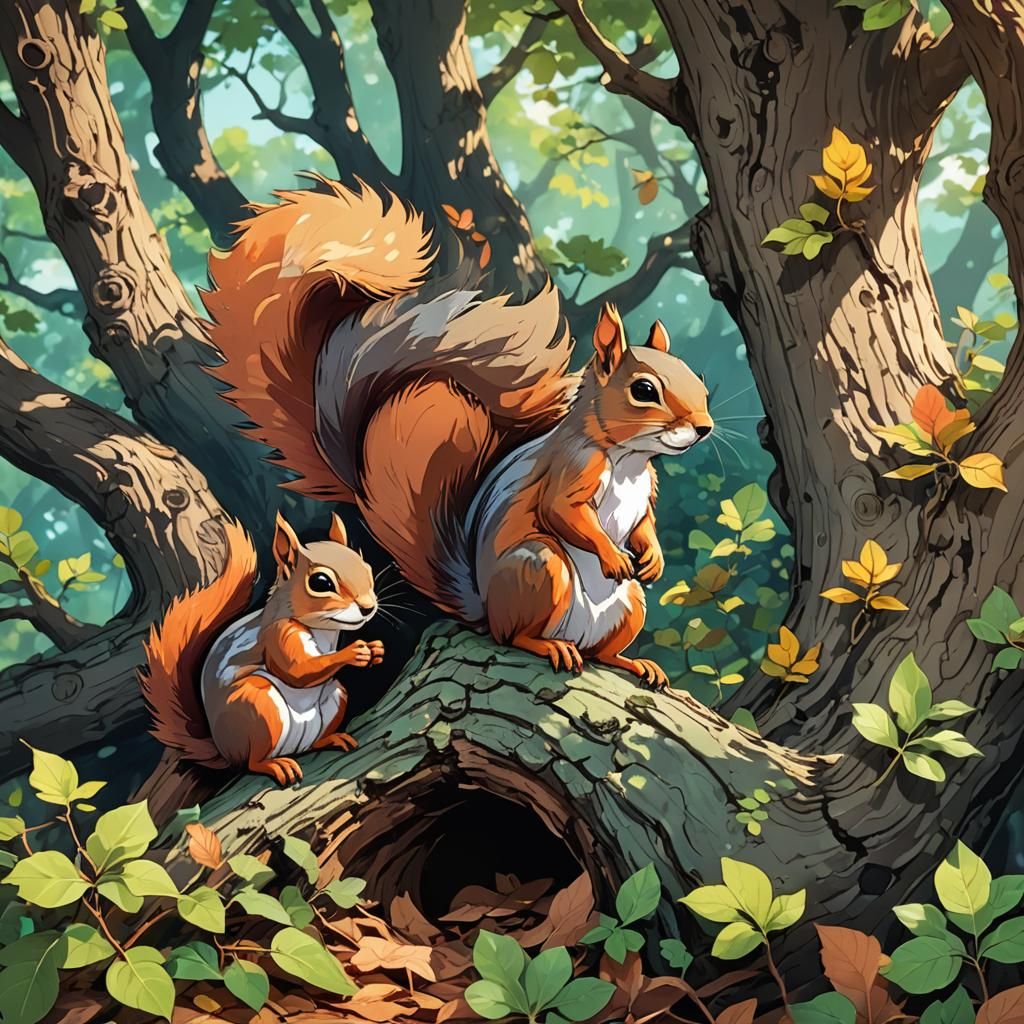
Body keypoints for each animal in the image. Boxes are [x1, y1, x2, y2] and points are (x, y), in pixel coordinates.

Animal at [139, 511, 383, 785]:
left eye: (367, 567)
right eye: (321, 583)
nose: (368, 607)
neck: (323, 630)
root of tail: (225, 750)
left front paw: (375, 650)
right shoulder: (278, 635)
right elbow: (296, 671)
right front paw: (353, 652)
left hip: (336, 694)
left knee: (313, 742)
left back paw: (331, 738)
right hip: (256, 706)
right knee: (252, 762)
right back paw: (275, 765)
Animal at [201, 177, 713, 689]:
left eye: (698, 379)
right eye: (644, 389)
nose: (703, 428)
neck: (628, 458)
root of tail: (485, 609)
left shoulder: (645, 491)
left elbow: (643, 525)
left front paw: (651, 556)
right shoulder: (570, 470)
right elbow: (563, 511)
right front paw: (613, 554)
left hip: (629, 603)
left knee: (603, 650)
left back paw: (632, 661)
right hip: (540, 567)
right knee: (514, 635)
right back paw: (547, 644)